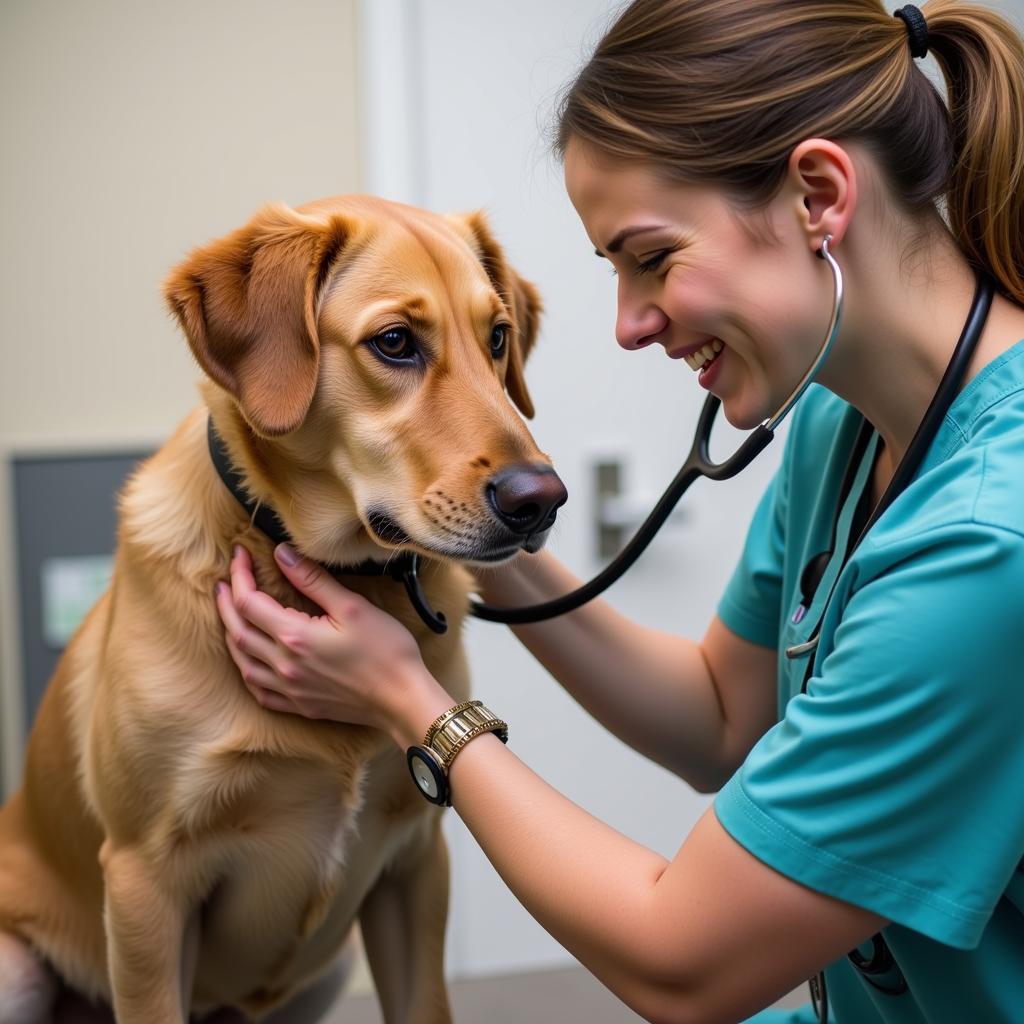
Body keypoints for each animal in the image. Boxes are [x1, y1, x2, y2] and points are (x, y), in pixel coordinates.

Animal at [0, 193, 565, 1024]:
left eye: (497, 337)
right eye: (395, 343)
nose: (543, 500)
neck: (338, 572)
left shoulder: (414, 863)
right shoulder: (144, 885)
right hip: (20, 966)